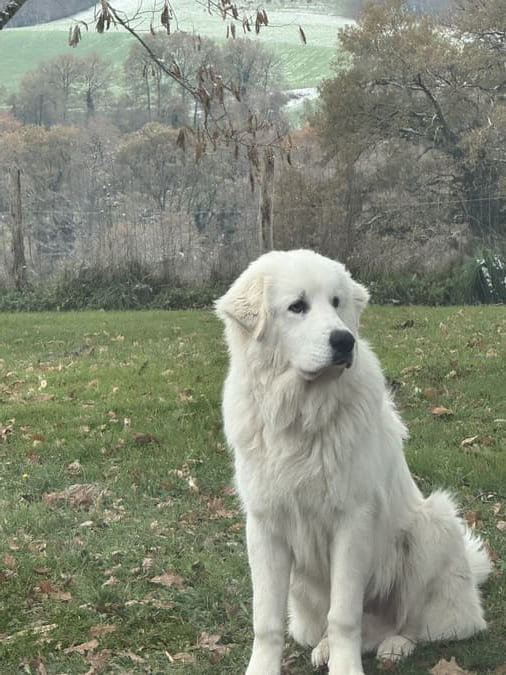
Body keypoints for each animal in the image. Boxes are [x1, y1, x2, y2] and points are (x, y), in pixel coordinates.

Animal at [216, 249, 490, 675]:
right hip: (302, 593)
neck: (301, 416)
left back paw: (395, 645)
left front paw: (345, 668)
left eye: (336, 303)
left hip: (433, 525)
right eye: (297, 306)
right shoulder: (265, 528)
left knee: (414, 622)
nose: (344, 340)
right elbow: (267, 621)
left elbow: (344, 614)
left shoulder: (352, 521)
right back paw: (327, 647)